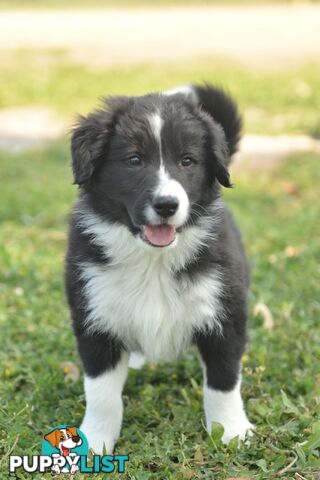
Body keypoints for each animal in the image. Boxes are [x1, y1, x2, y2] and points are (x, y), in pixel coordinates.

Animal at [65, 84, 254, 452]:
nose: (167, 205)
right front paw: (94, 441)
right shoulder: (93, 317)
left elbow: (223, 381)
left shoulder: (225, 312)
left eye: (187, 161)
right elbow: (101, 392)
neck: (152, 260)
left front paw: (231, 431)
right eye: (134, 160)